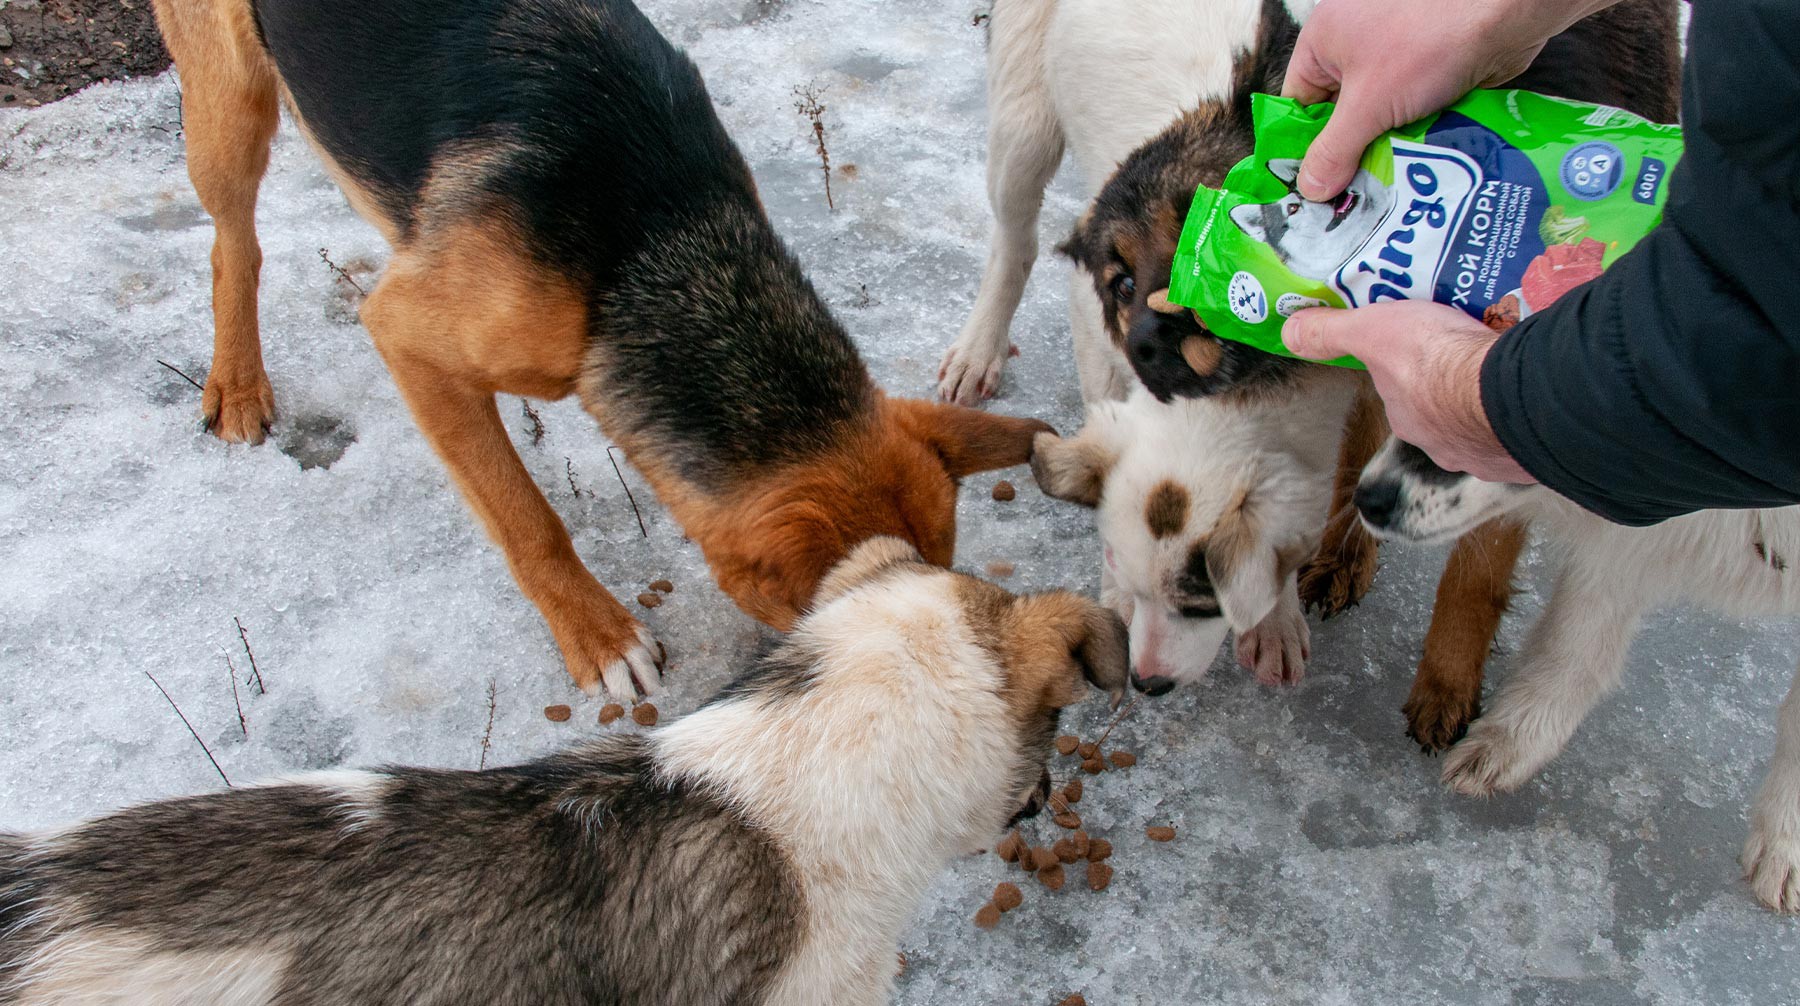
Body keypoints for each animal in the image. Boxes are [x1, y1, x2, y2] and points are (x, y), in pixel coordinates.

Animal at [158, 0, 1051, 701]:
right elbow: (527, 518)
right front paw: (599, 636)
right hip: (230, 103)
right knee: (233, 244)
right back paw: (238, 385)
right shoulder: (409, 340)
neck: (665, 240)